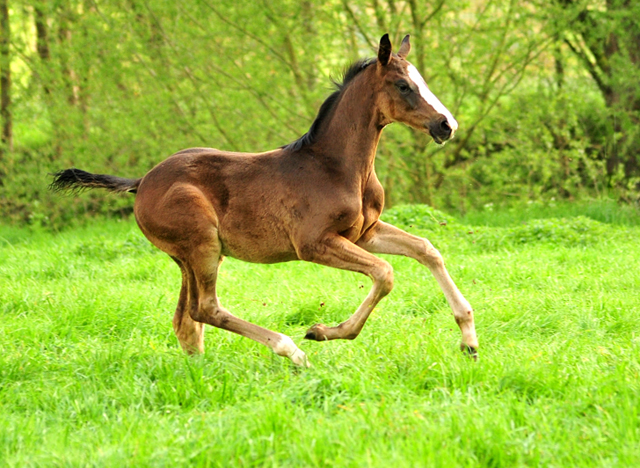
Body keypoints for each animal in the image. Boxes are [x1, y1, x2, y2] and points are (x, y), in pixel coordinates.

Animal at [52, 34, 478, 368]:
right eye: (403, 85)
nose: (447, 125)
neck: (336, 166)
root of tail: (142, 182)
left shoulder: (363, 233)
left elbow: (426, 249)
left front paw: (469, 340)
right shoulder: (314, 244)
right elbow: (385, 274)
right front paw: (322, 332)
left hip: (188, 256)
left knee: (186, 320)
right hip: (202, 245)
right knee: (206, 308)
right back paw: (292, 351)